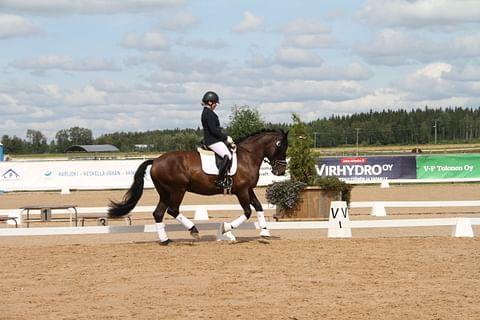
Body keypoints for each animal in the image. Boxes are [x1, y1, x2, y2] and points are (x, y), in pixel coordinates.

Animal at [109, 129, 288, 244]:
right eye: (282, 147)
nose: (280, 171)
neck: (248, 156)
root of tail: (156, 160)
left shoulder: (248, 189)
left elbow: (258, 208)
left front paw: (265, 232)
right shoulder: (241, 191)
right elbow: (248, 212)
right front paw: (226, 230)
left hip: (165, 192)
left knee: (158, 213)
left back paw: (165, 240)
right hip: (177, 190)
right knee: (173, 210)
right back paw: (193, 230)